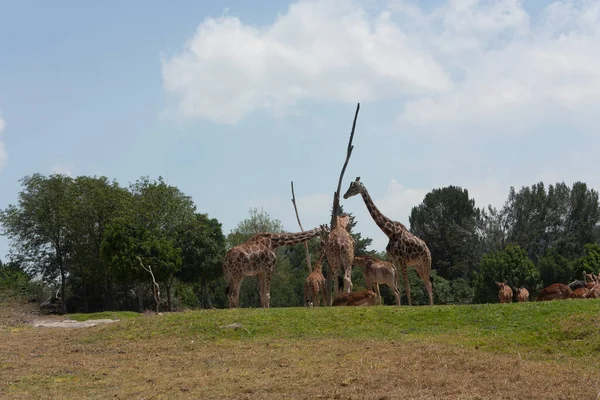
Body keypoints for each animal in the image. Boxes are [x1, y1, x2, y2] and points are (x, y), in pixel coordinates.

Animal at [344, 178, 434, 306]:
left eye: (354, 187)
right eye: (350, 186)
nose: (345, 195)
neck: (390, 232)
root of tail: (428, 249)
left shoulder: (402, 259)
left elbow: (407, 286)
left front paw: (409, 306)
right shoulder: (393, 259)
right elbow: (398, 285)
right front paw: (400, 305)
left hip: (426, 262)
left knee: (429, 283)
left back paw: (431, 305)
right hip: (418, 265)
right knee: (426, 282)